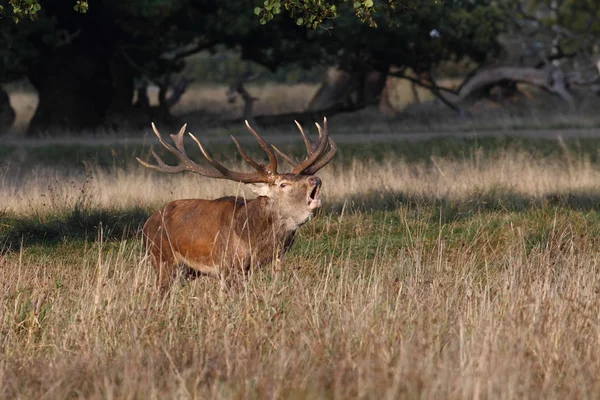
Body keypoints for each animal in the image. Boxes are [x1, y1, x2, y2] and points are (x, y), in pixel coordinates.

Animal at [137, 118, 340, 290]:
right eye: (283, 184)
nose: (315, 179)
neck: (250, 235)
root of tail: (147, 223)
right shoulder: (227, 266)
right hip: (161, 258)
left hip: (187, 270)